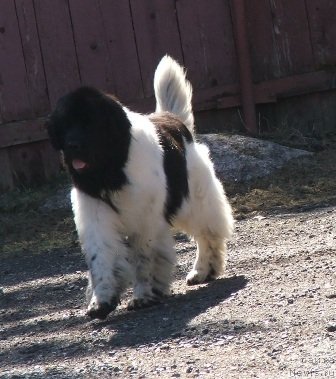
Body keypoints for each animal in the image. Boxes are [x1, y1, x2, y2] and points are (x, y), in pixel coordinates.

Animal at [46, 55, 234, 320]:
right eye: (65, 124)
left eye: (90, 123)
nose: (72, 145)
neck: (112, 167)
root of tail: (171, 118)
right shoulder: (96, 217)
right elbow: (101, 259)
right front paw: (101, 300)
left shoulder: (144, 221)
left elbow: (143, 259)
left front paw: (144, 295)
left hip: (193, 202)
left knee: (208, 234)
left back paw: (204, 269)